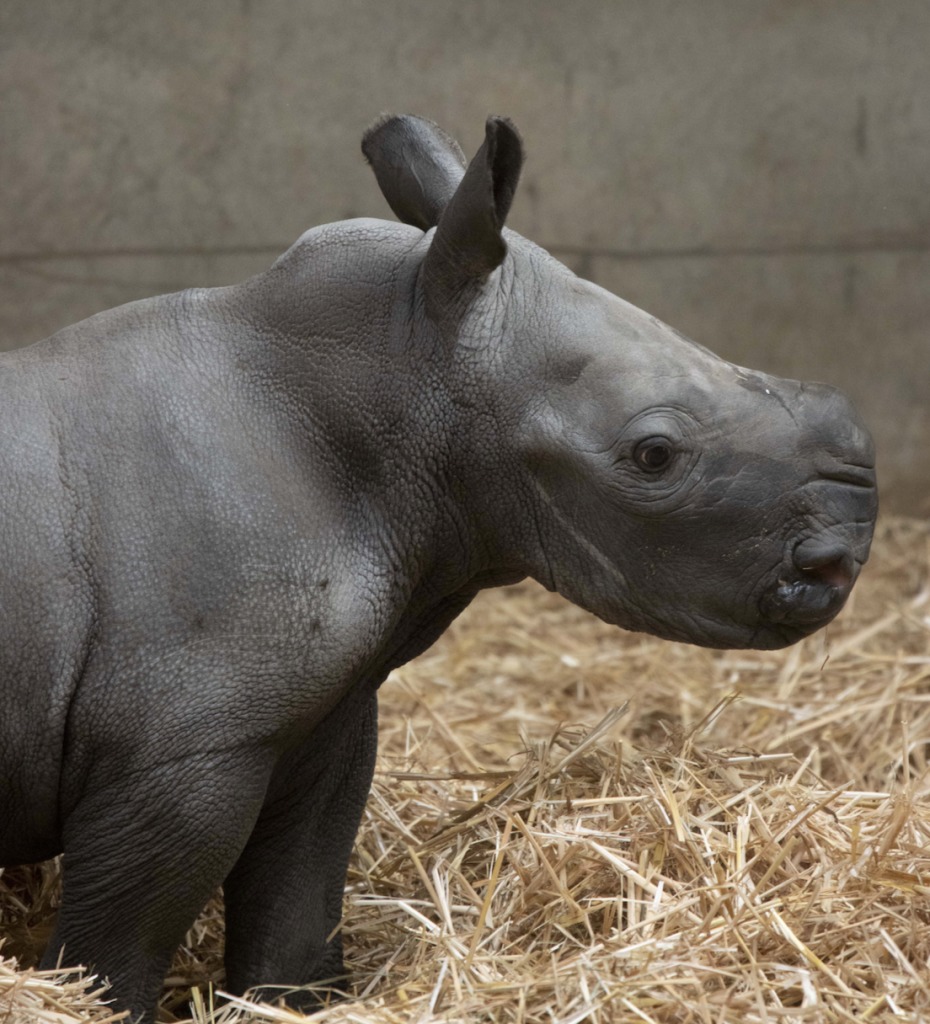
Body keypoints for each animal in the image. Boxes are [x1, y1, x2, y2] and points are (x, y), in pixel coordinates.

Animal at [0, 116, 872, 1019]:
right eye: (654, 455)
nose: (840, 559)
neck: (402, 363)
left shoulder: (316, 714)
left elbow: (298, 897)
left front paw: (301, 1003)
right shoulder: (181, 743)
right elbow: (120, 944)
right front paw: (88, 1000)